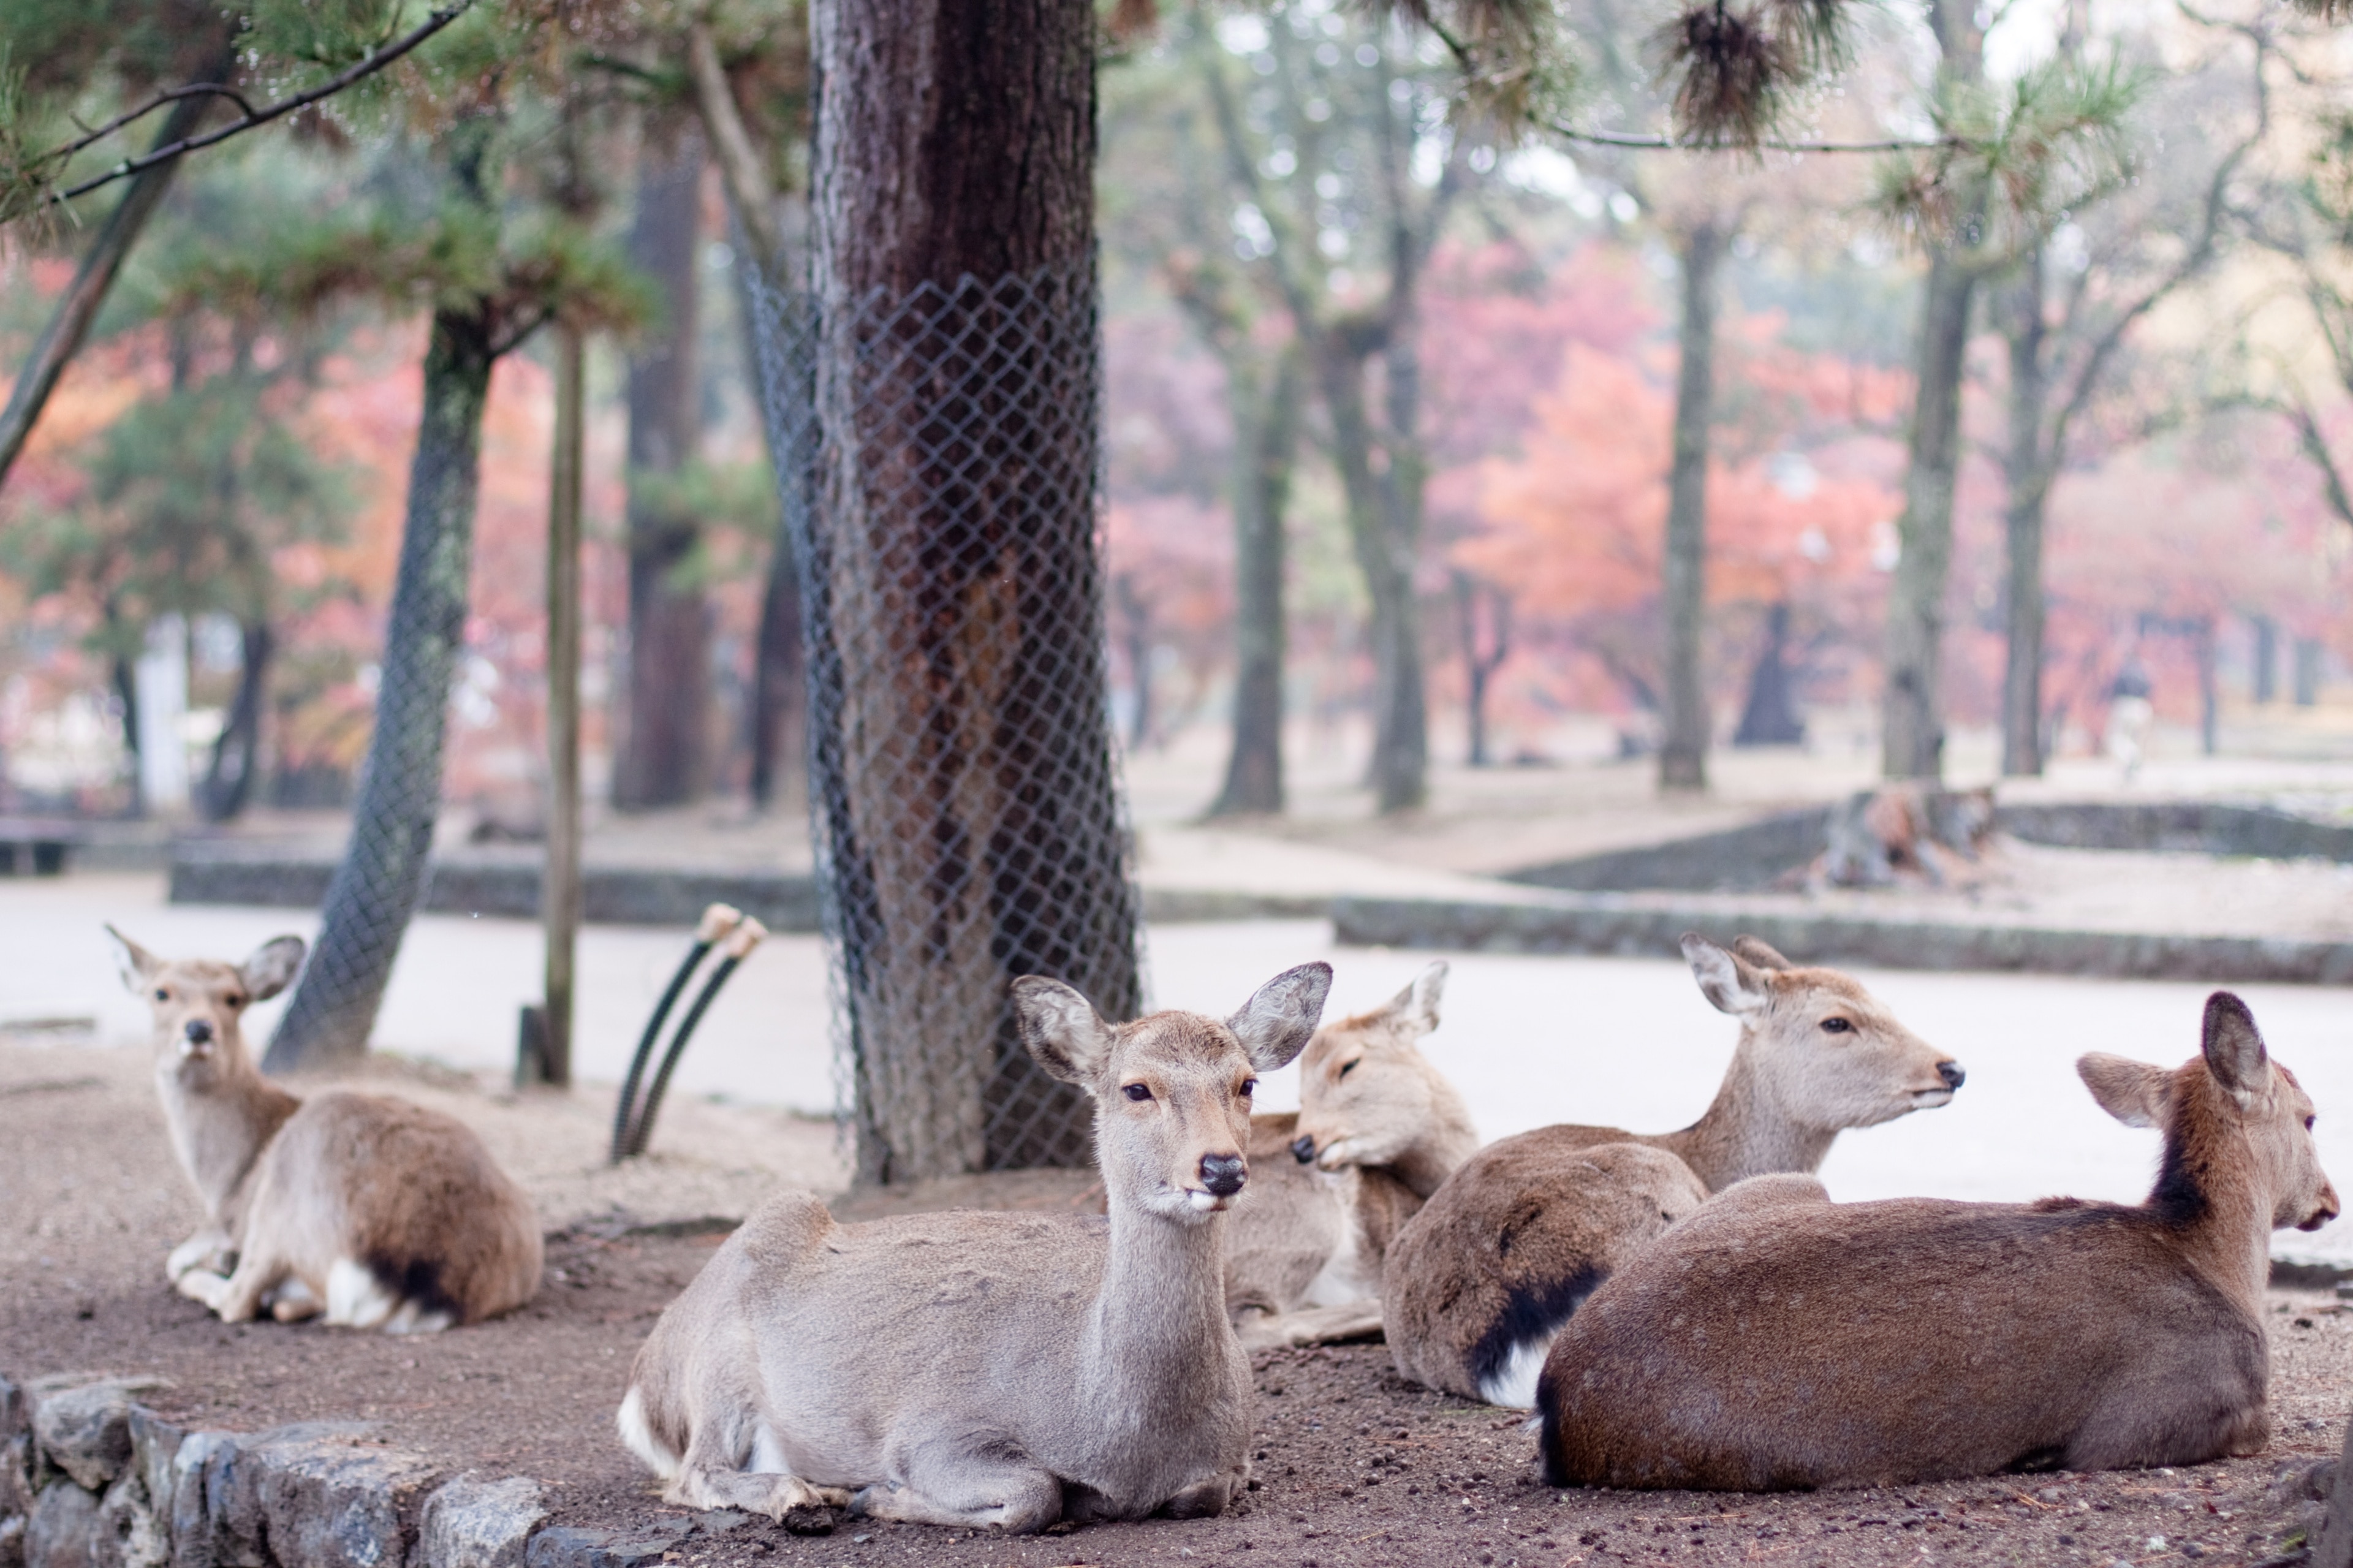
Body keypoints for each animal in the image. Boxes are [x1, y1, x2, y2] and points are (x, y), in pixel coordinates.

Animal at [109, 927, 541, 1328]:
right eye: (161, 993)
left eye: (233, 997)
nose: (198, 1029)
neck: (224, 1180)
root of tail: (427, 1287)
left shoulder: (226, 1223)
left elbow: (177, 1261)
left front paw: (213, 1261)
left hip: (285, 1198)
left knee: (240, 1300)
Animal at [616, 951, 1336, 1525]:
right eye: (1137, 1088)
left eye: (1246, 1083)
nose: (1222, 1168)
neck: (1123, 1438)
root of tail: (644, 1386)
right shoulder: (934, 1427)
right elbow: (1034, 1494)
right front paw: (881, 1495)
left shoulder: (1229, 1463)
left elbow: (1203, 1493)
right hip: (715, 1361)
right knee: (693, 1471)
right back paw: (800, 1493)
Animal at [1544, 988, 2334, 1488]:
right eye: (2311, 1116)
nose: (2329, 1201)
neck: (2215, 1258)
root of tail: (1554, 1406)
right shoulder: (2157, 1419)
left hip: (1781, 1188)